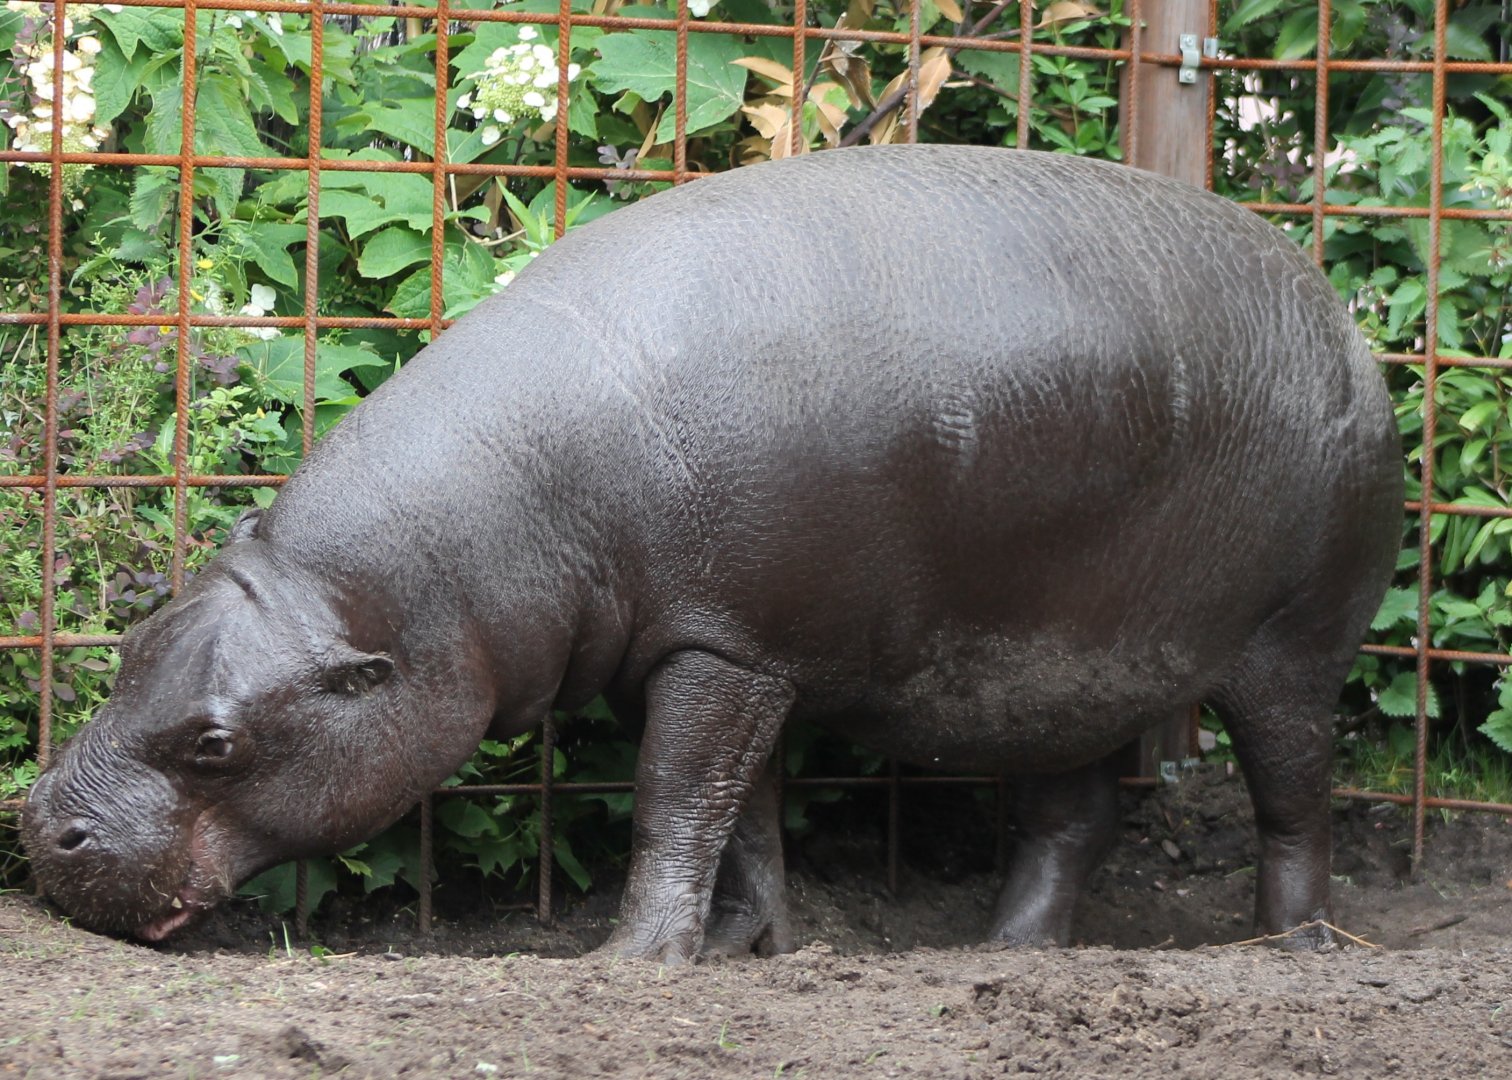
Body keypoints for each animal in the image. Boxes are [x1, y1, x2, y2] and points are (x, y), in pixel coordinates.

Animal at [23, 145, 1401, 960]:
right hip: (1069, 666)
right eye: (136, 636)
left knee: (1294, 800)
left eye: (216, 742)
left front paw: (626, 962)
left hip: (1293, 646)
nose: (42, 827)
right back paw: (1001, 955)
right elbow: (744, 816)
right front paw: (758, 950)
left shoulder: (726, 650)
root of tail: (1344, 323)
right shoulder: (732, 649)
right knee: (1070, 817)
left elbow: (675, 801)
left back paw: (1288, 949)